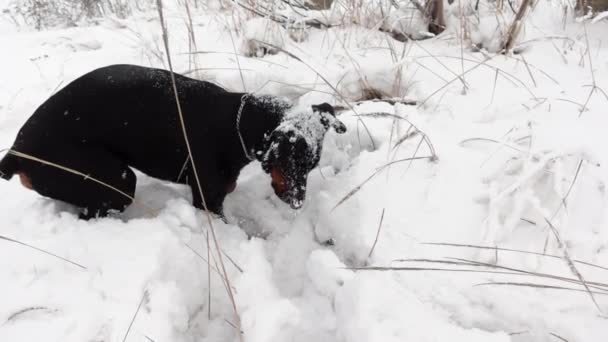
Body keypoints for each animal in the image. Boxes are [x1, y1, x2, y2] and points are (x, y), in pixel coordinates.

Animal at [0, 64, 346, 219]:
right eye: (289, 161)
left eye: (312, 166)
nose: (298, 202)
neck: (236, 124)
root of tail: (15, 153)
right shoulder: (208, 201)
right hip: (114, 180)